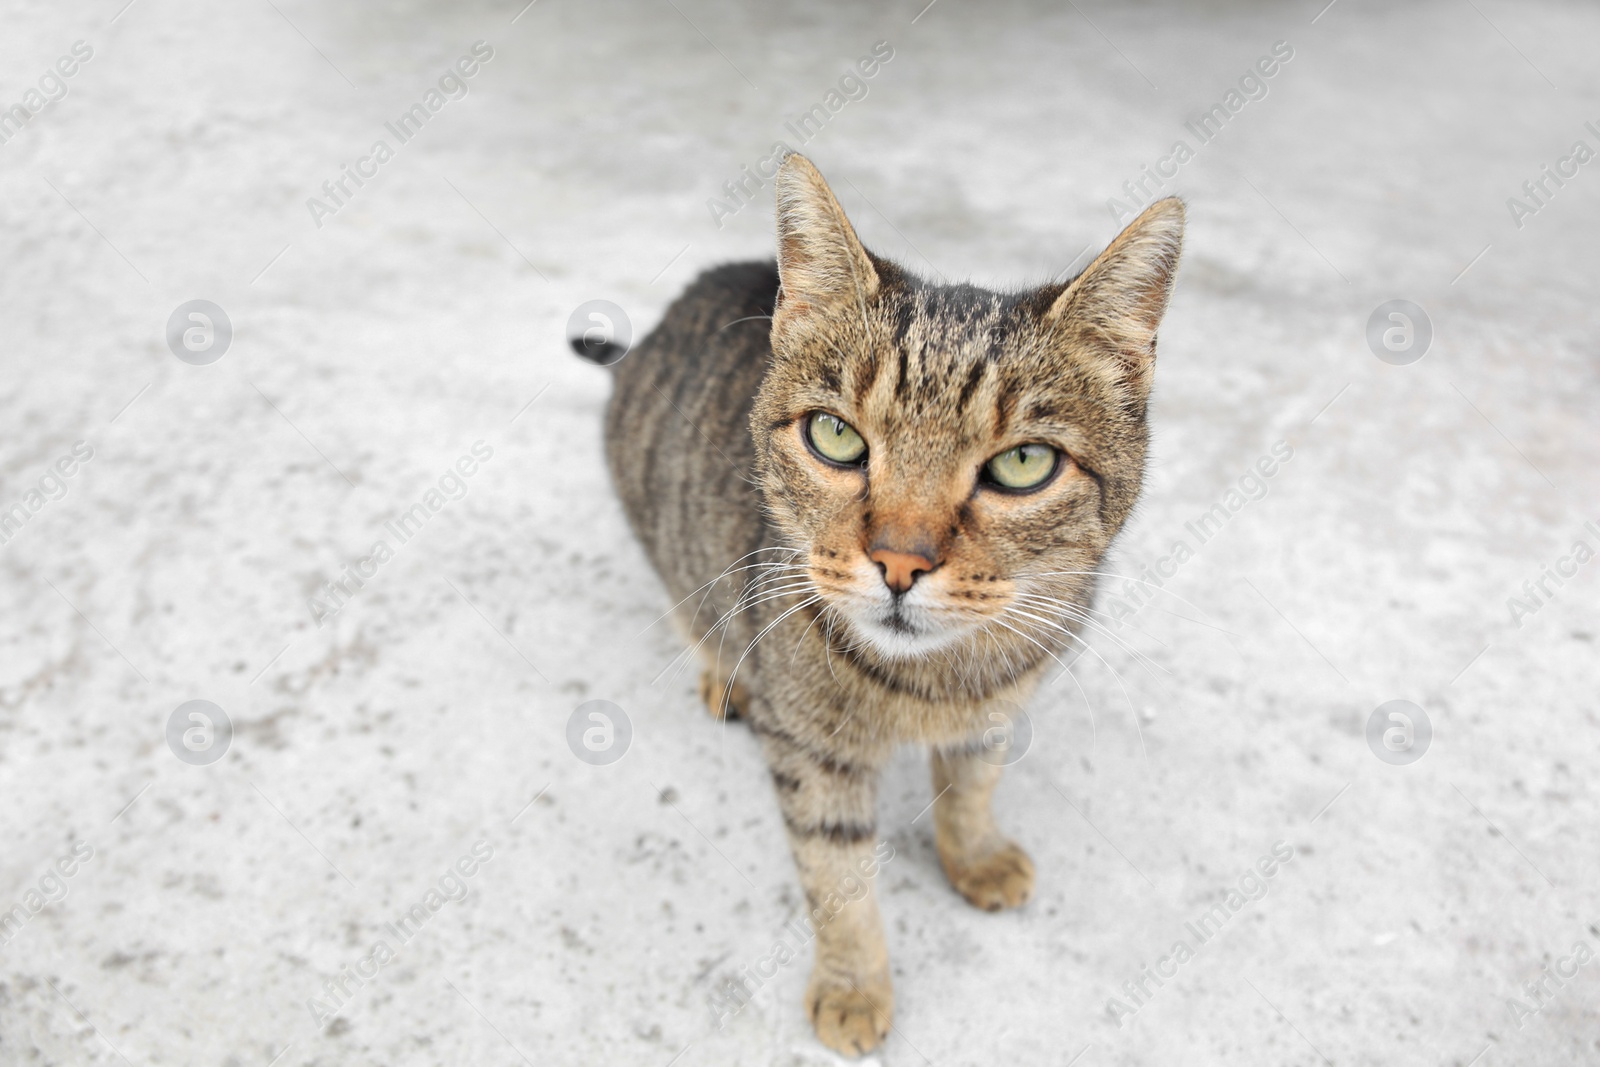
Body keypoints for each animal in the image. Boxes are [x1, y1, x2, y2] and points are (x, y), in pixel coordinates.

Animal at [585, 154, 1177, 1055]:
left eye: (1024, 464)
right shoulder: (811, 755)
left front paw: (976, 854)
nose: (900, 561)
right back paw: (724, 674)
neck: (933, 685)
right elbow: (836, 877)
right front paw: (854, 986)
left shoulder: (996, 708)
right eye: (835, 436)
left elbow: (971, 788)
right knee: (695, 610)